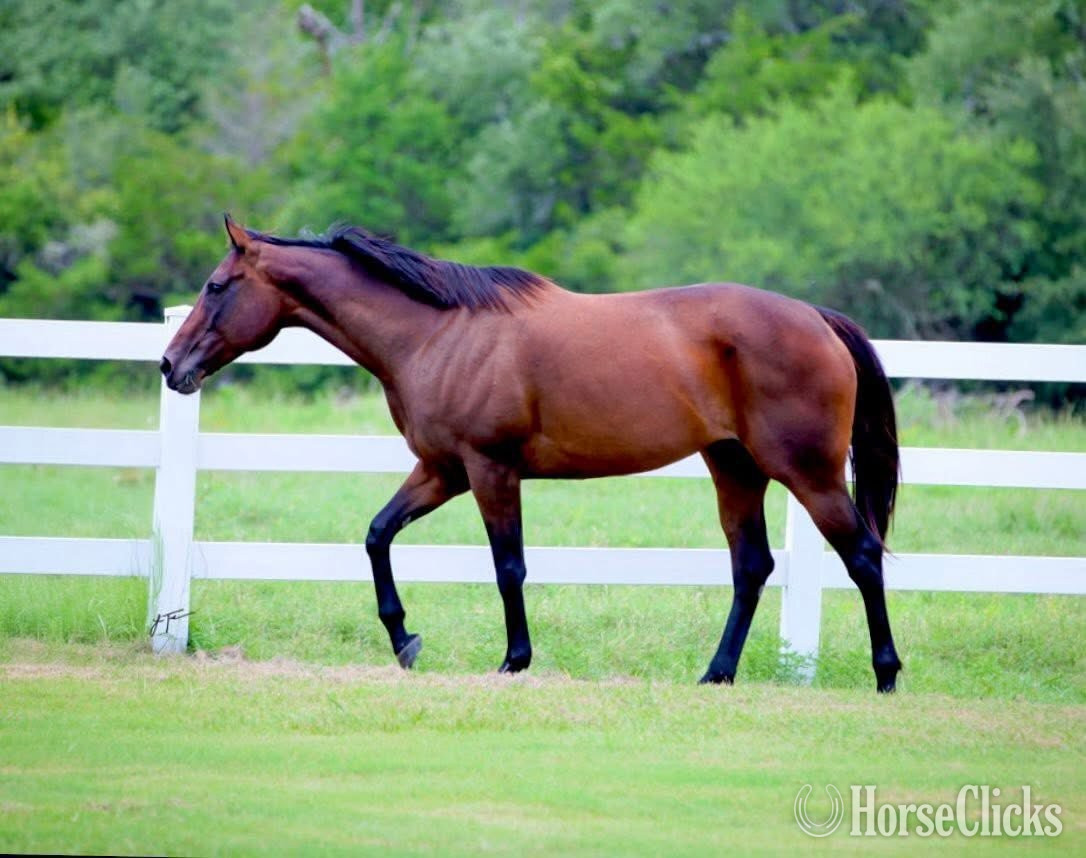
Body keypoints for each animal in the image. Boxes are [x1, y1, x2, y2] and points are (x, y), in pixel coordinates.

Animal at [161, 215, 902, 692]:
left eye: (216, 286)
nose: (171, 364)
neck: (437, 334)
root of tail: (816, 318)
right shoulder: (442, 471)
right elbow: (377, 535)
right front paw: (405, 641)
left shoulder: (490, 471)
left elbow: (508, 566)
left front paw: (514, 660)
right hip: (734, 466)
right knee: (751, 565)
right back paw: (716, 674)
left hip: (806, 472)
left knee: (862, 556)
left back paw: (887, 674)